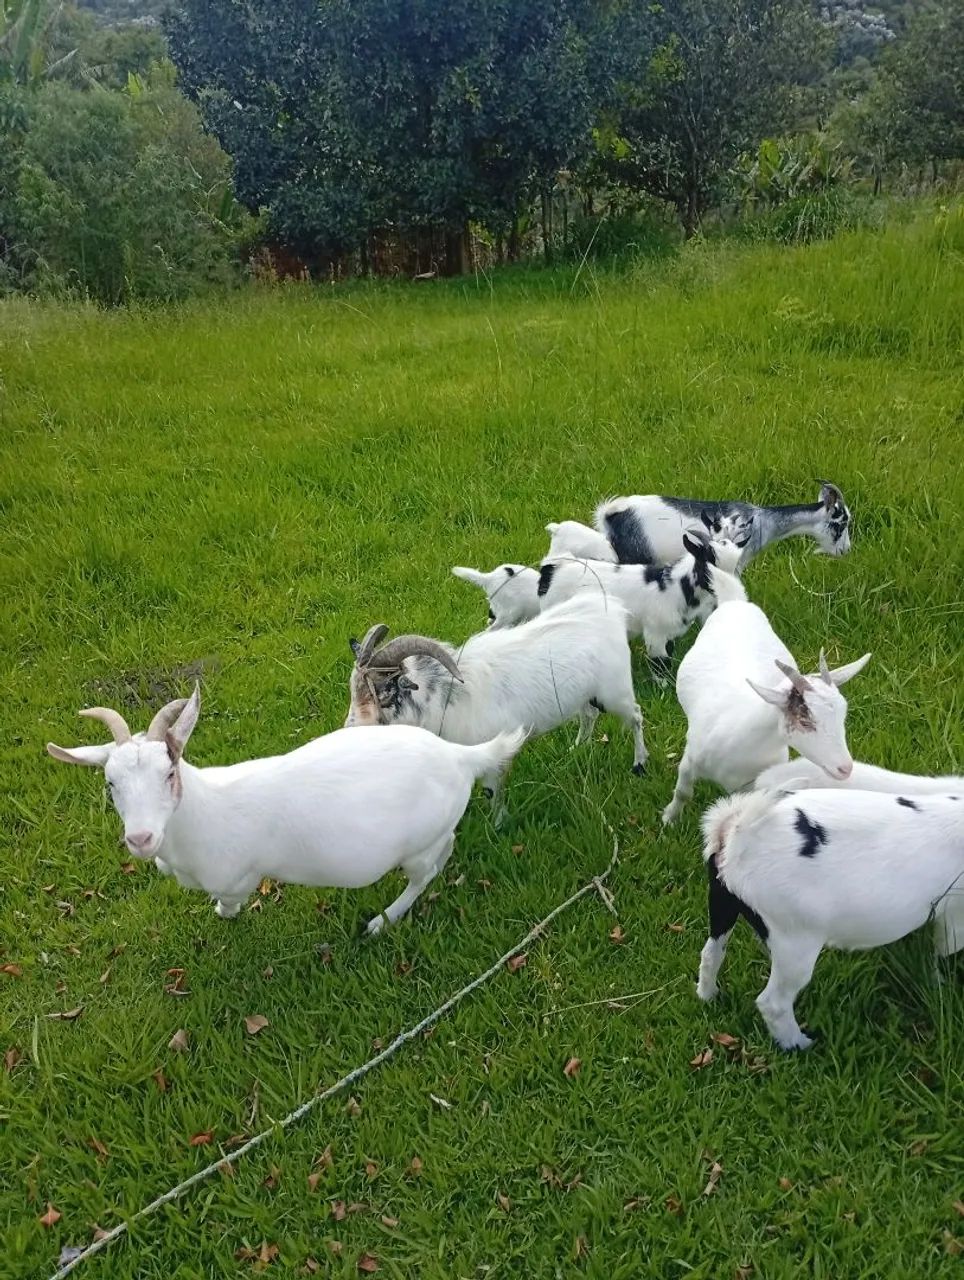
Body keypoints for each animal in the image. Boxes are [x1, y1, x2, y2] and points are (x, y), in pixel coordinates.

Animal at [47, 686, 524, 934]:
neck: (203, 811)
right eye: (110, 783)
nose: (141, 839)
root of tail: (460, 757)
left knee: (427, 871)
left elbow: (229, 900)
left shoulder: (235, 878)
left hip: (418, 845)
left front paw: (223, 915)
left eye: (169, 773)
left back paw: (383, 920)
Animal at [344, 597, 648, 817]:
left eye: (386, 691)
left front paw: (498, 823)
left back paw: (639, 765)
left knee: (635, 717)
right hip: (587, 695)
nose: (350, 729)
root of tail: (611, 610)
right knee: (589, 715)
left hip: (616, 691)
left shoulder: (494, 753)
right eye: (353, 689)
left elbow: (493, 791)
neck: (444, 698)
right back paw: (577, 749)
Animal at [536, 530, 748, 684]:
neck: (676, 587)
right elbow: (660, 663)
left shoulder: (669, 632)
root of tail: (552, 568)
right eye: (708, 565)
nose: (733, 590)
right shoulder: (656, 633)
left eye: (736, 567)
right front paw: (663, 689)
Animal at [662, 601, 870, 824]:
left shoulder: (752, 783)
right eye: (805, 722)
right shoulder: (689, 761)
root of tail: (737, 602)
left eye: (843, 716)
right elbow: (683, 792)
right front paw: (669, 818)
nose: (845, 769)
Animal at [699, 787, 964, 1050]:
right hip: (794, 939)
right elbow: (944, 952)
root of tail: (738, 830)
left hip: (723, 905)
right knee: (773, 1002)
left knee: (711, 954)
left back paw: (709, 996)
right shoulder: (955, 919)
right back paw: (799, 1045)